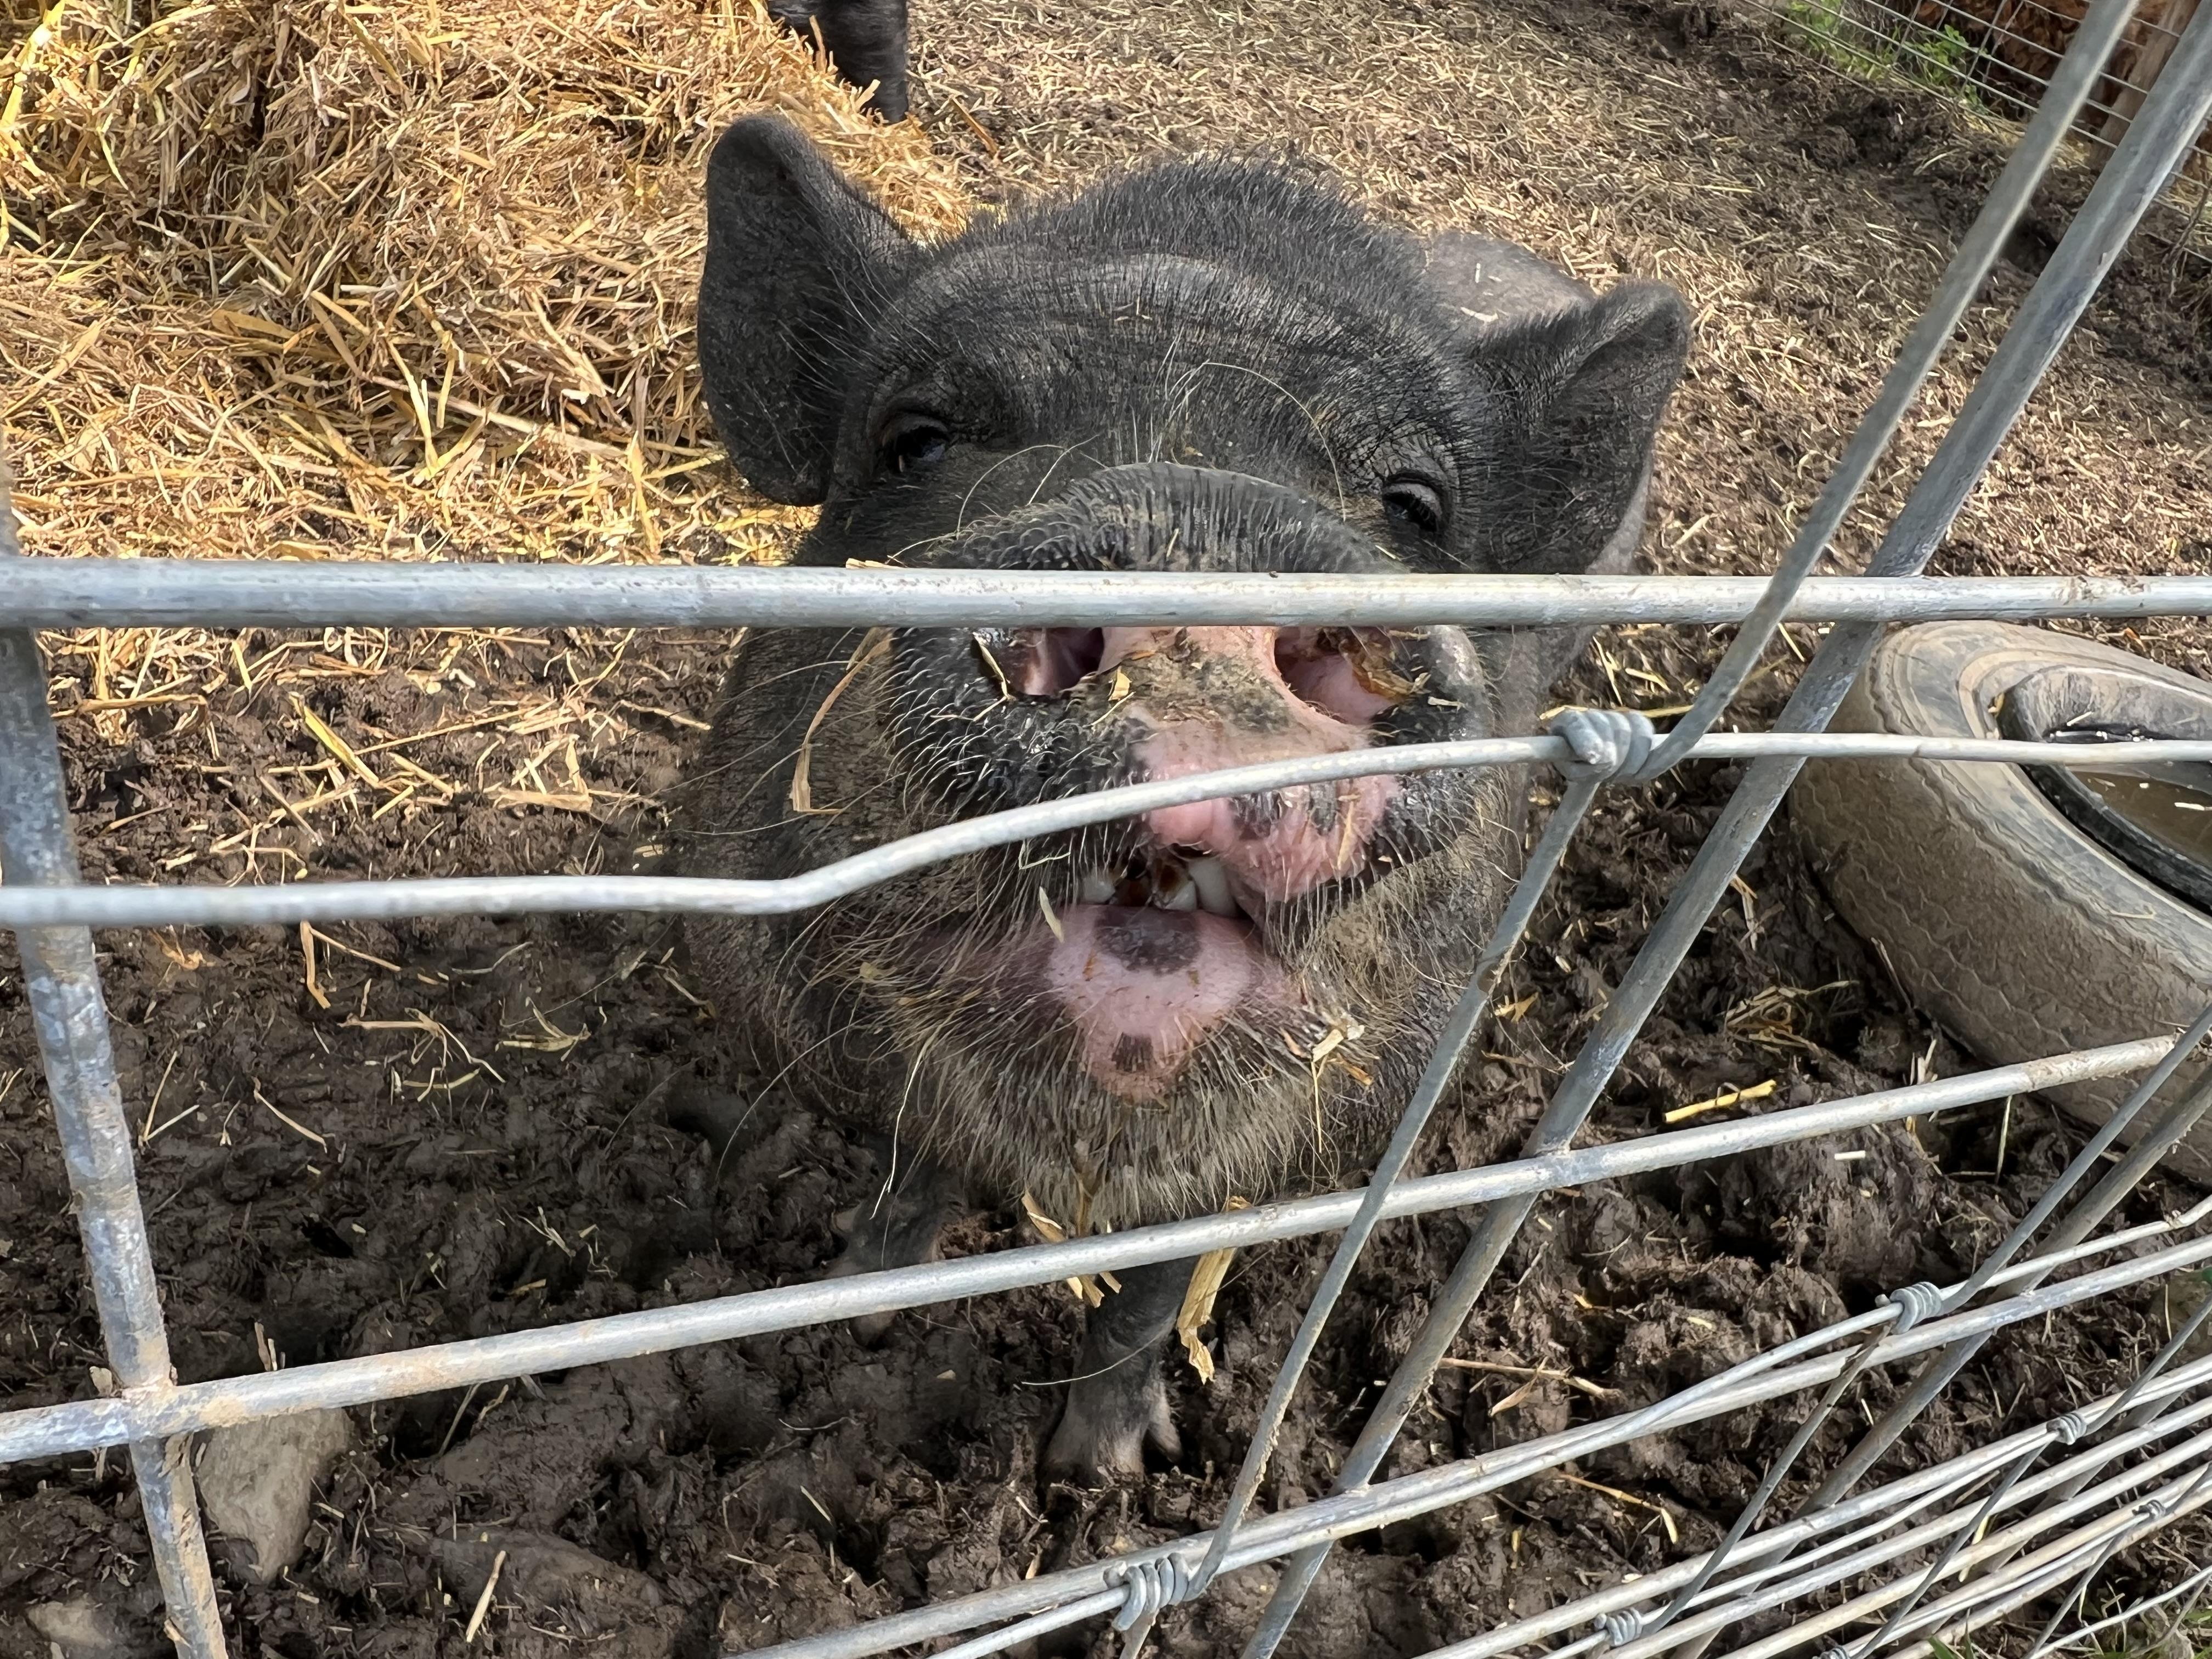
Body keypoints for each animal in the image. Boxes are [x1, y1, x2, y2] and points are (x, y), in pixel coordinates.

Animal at [678, 114, 1690, 1478]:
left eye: (1416, 504)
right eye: (915, 439)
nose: (1204, 539)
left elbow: (1155, 1287)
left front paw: (1104, 1475)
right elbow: (909, 1175)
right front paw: (846, 1315)